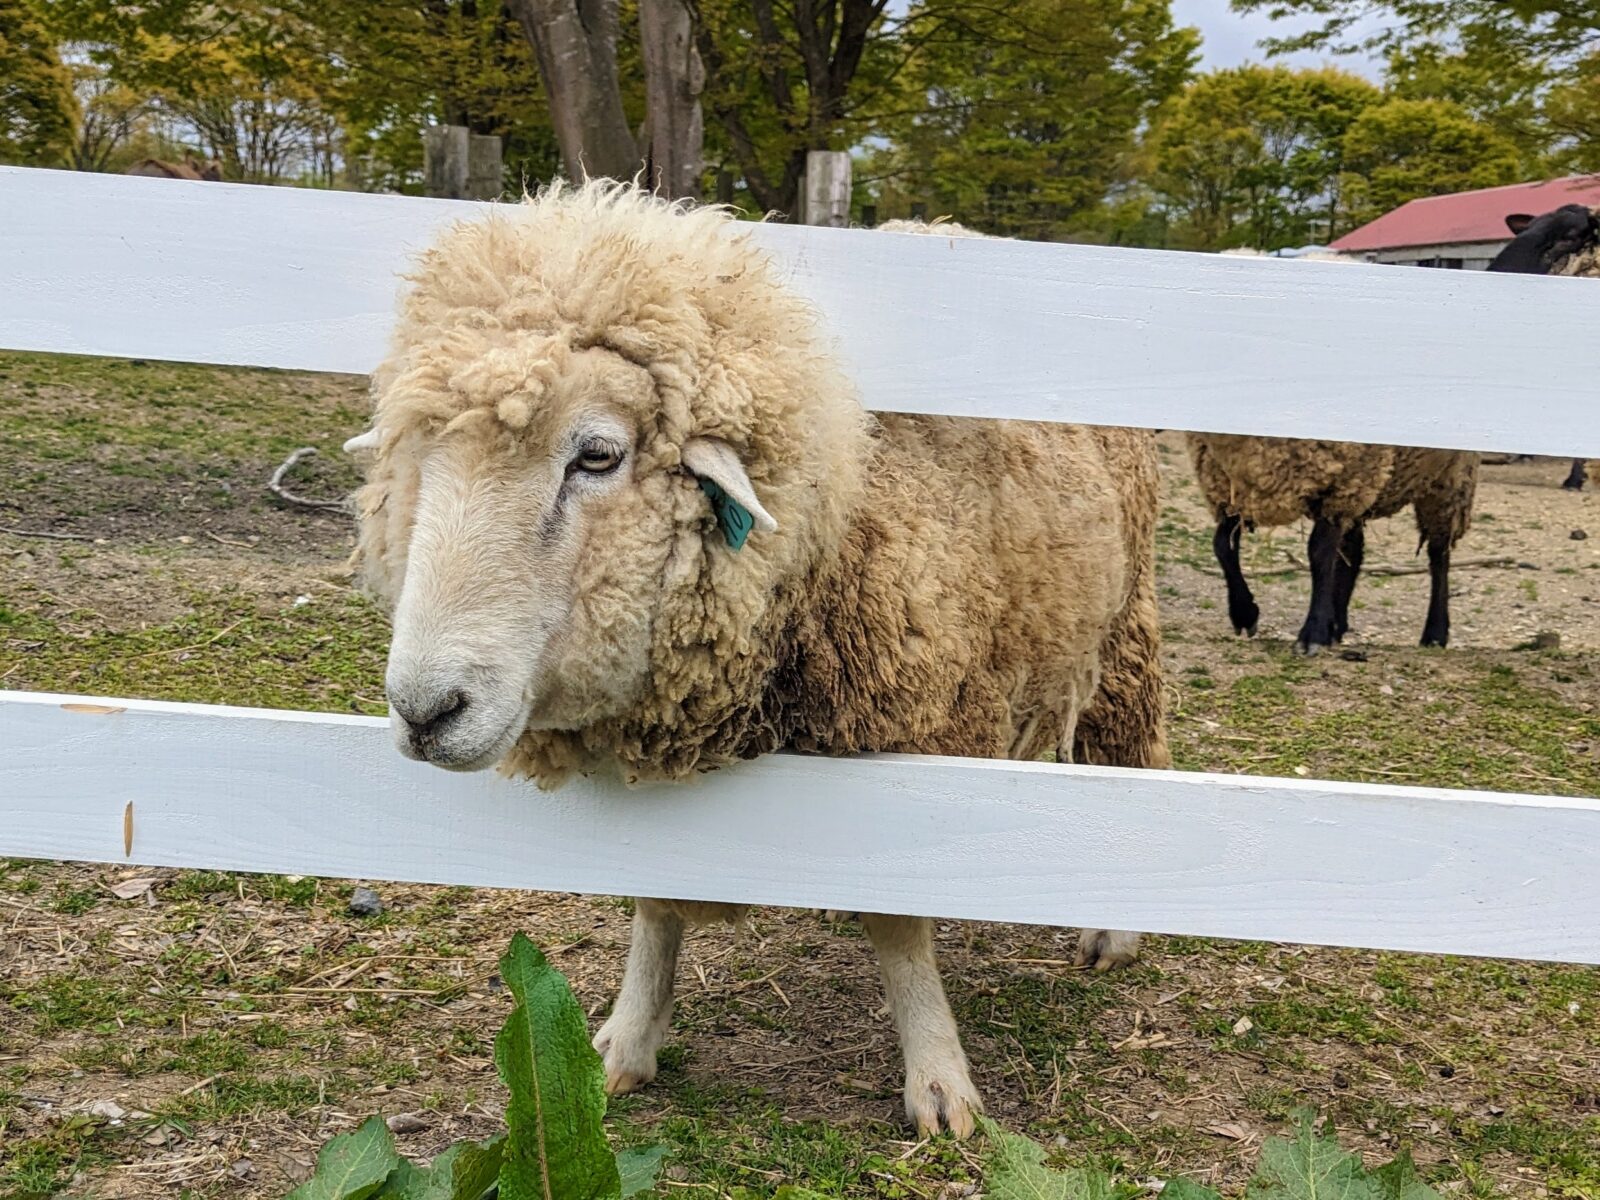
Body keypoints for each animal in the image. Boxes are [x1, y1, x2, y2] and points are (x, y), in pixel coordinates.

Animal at [350, 183, 1171, 1139]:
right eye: (419, 456)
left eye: (597, 454)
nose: (423, 710)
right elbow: (655, 907)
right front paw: (626, 1040)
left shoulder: (908, 737)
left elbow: (900, 934)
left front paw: (938, 1081)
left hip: (1122, 632)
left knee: (1127, 763)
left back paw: (1112, 930)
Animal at [1190, 244, 1472, 652]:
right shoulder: (1230, 487)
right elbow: (1222, 546)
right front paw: (1245, 614)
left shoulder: (1343, 482)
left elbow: (1319, 553)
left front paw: (1312, 633)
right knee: (1354, 550)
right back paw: (1339, 623)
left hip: (1446, 478)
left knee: (1438, 553)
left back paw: (1434, 631)